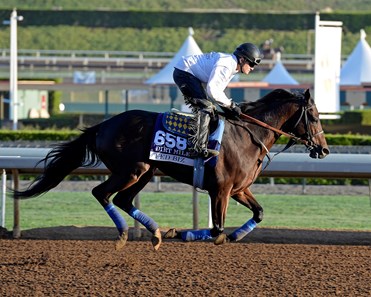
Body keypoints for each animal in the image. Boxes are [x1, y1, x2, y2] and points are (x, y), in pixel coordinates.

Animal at [14, 88, 330, 250]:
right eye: (314, 116)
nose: (324, 149)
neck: (248, 135)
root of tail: (102, 126)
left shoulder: (239, 189)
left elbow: (258, 214)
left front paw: (236, 236)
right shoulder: (221, 190)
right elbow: (216, 230)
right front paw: (182, 233)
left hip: (146, 172)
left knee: (123, 200)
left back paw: (156, 232)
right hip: (132, 170)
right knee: (101, 193)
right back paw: (126, 233)